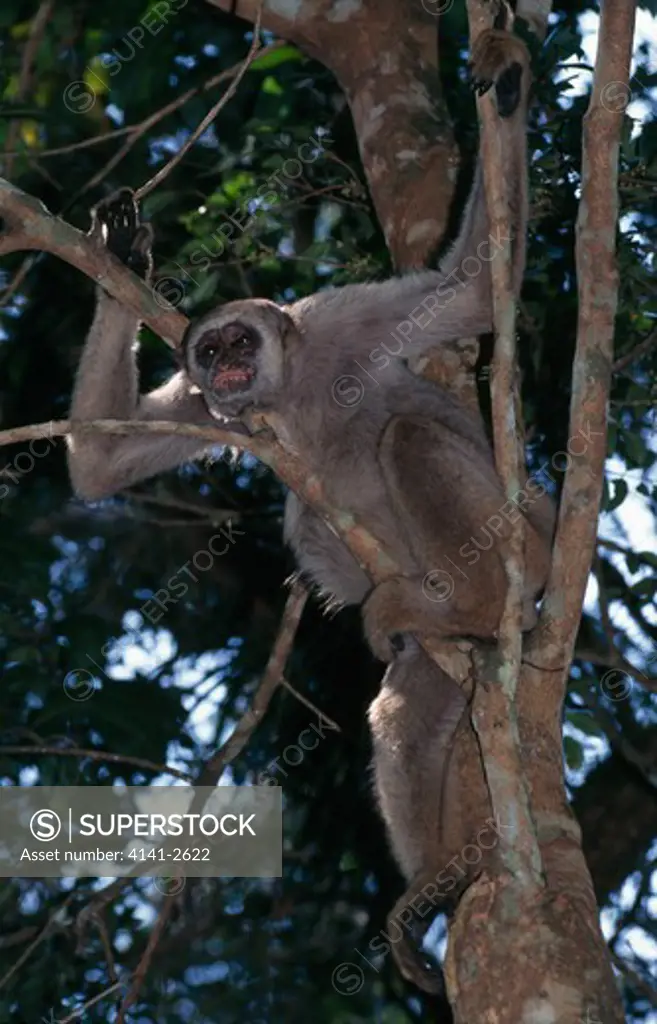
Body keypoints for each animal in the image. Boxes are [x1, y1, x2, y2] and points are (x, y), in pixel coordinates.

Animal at [69, 25, 552, 999]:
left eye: (237, 341)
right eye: (206, 350)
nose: (222, 366)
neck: (285, 399)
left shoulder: (340, 321)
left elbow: (471, 289)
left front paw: (509, 74)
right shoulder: (217, 413)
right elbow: (98, 463)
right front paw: (122, 264)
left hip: (517, 535)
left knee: (412, 435)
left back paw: (481, 599)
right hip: (438, 663)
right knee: (405, 706)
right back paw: (438, 880)